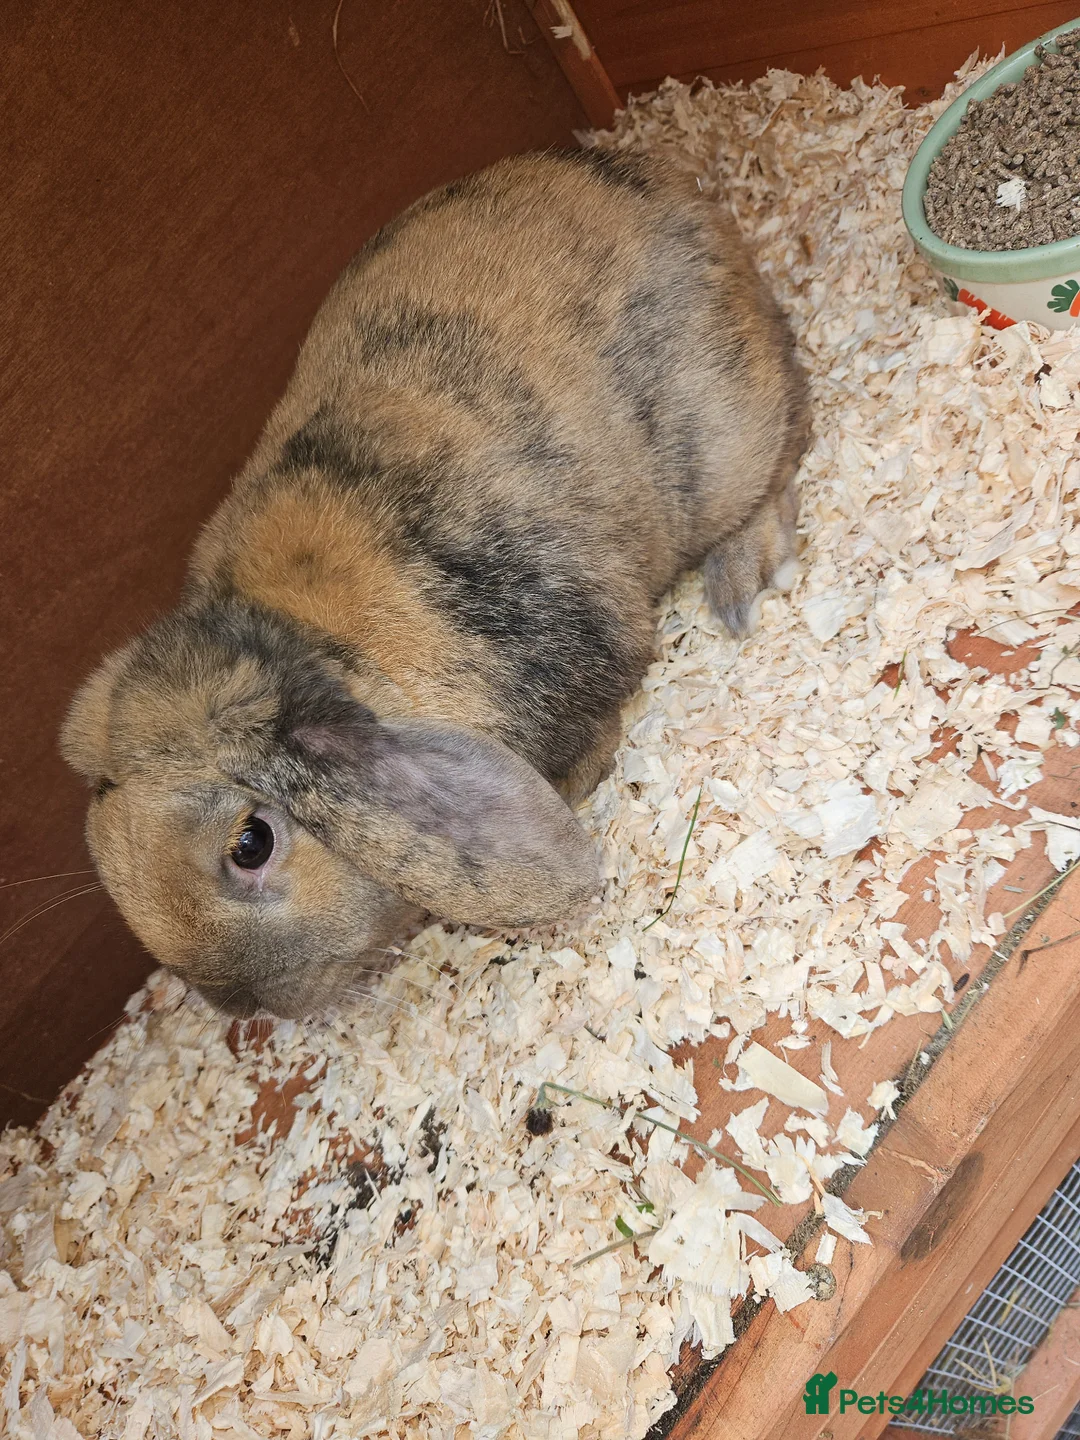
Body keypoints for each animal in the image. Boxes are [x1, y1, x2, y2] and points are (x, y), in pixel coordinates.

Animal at [61, 148, 810, 1019]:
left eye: (252, 843)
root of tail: (674, 190)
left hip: (727, 437)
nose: (240, 1004)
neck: (327, 645)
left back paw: (739, 578)